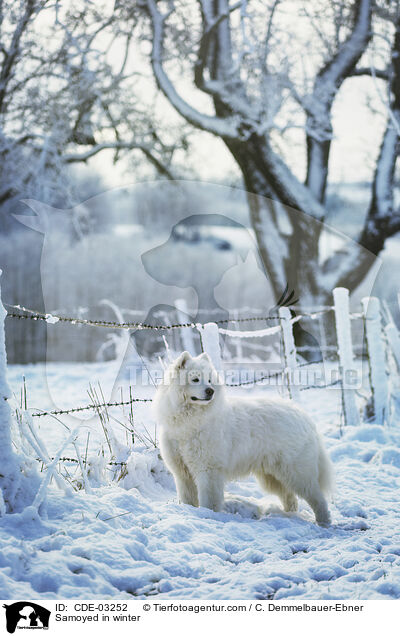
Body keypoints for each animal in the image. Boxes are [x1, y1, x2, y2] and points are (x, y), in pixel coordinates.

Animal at [154, 350, 334, 524]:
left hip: (296, 473)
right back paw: (289, 516)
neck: (189, 422)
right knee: (290, 498)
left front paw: (208, 515)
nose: (210, 391)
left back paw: (323, 522)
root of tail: (304, 416)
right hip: (272, 476)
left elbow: (208, 500)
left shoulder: (208, 470)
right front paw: (190, 511)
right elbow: (188, 499)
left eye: (210, 380)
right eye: (195, 379)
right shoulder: (182, 472)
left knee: (317, 499)